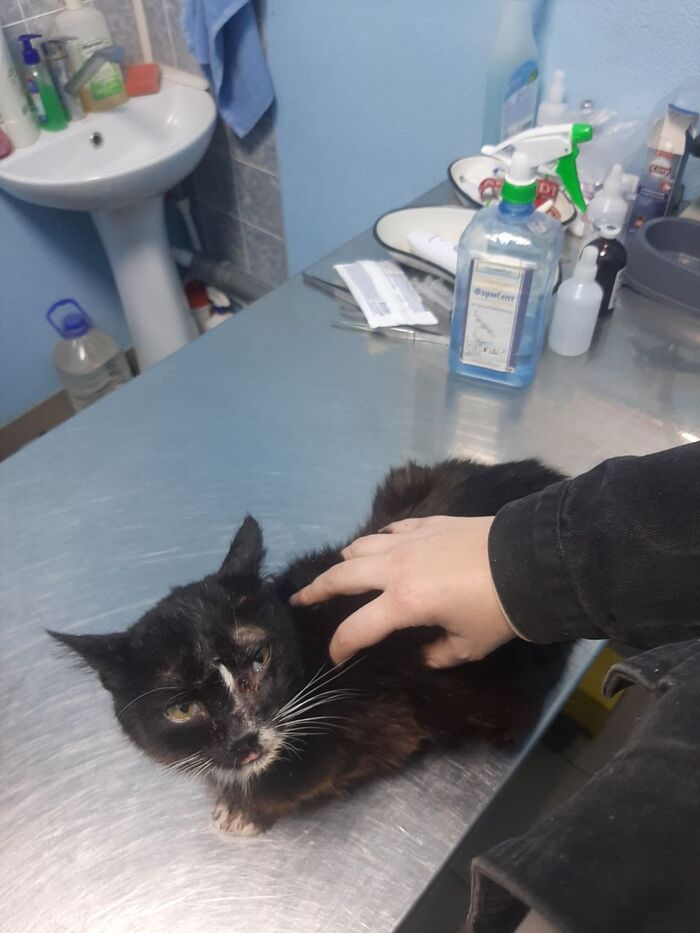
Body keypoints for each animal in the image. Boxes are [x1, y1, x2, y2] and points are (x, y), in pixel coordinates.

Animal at [51, 457, 570, 835]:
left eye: (259, 659)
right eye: (181, 709)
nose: (245, 740)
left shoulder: (384, 724)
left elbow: (307, 780)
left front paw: (245, 810)